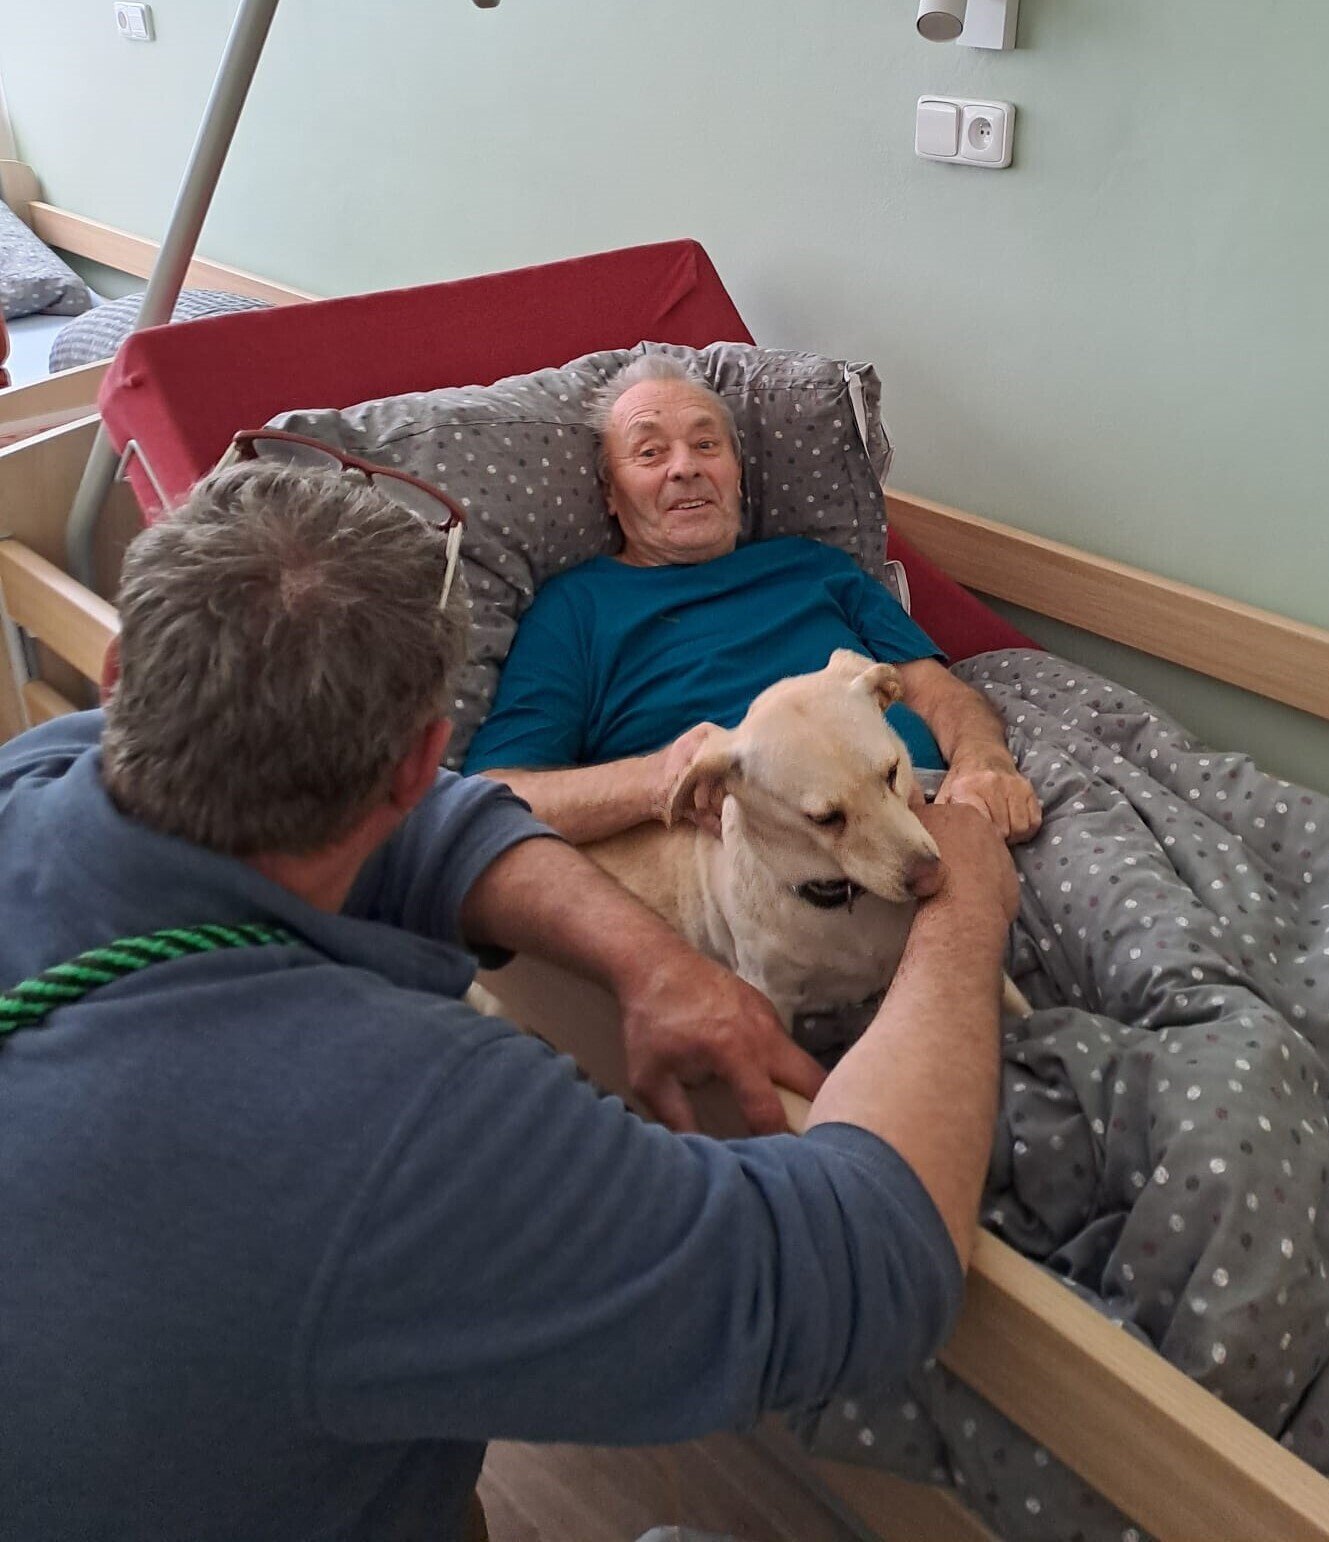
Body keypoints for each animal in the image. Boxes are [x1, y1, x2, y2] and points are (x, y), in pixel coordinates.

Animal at [587, 649, 1028, 1034]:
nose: (931, 879)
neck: (845, 908)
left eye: (892, 772)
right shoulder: (769, 995)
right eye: (824, 819)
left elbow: (1020, 1004)